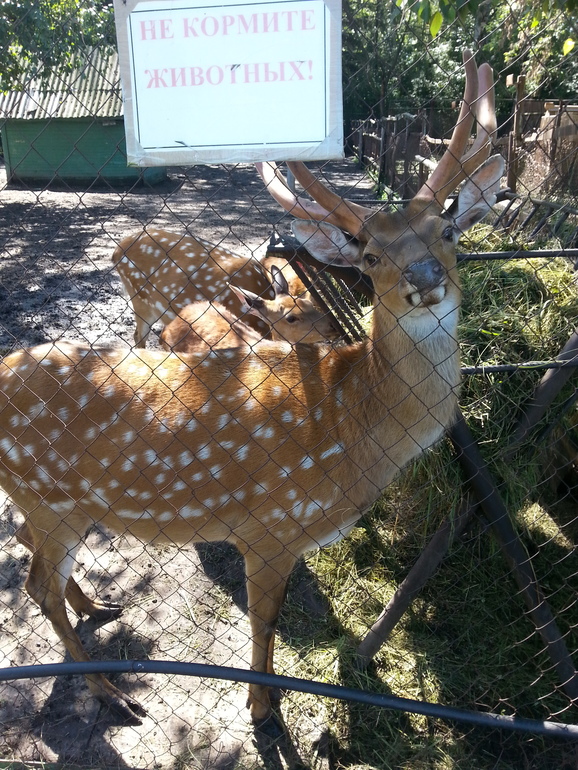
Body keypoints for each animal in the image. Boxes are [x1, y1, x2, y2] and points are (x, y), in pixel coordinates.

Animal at [112, 230, 338, 346]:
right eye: (291, 318)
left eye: (310, 303)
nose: (333, 327)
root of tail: (116, 252)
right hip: (140, 299)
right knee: (138, 336)